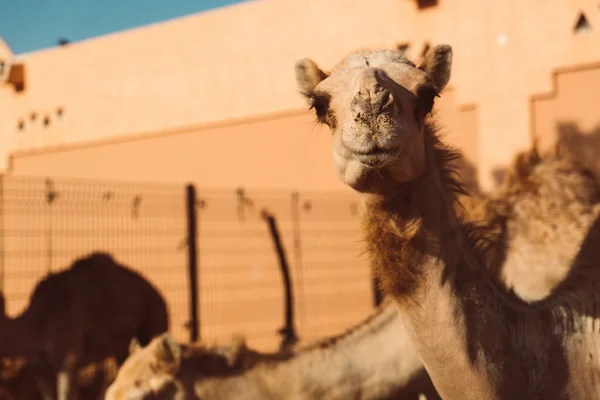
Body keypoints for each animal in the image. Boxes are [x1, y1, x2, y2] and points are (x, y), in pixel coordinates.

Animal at [0, 253, 170, 400]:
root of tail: (160, 297)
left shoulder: (68, 357)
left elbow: (65, 395)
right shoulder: (39, 366)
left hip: (154, 322)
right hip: (122, 348)